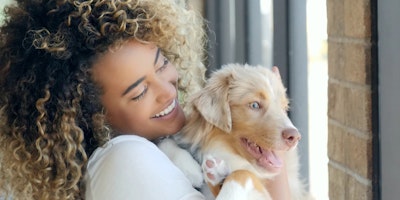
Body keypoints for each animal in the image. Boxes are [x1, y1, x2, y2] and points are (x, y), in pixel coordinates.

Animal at [158, 64, 310, 200]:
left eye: (284, 108)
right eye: (255, 105)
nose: (295, 137)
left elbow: (242, 173)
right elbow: (165, 141)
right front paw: (191, 169)